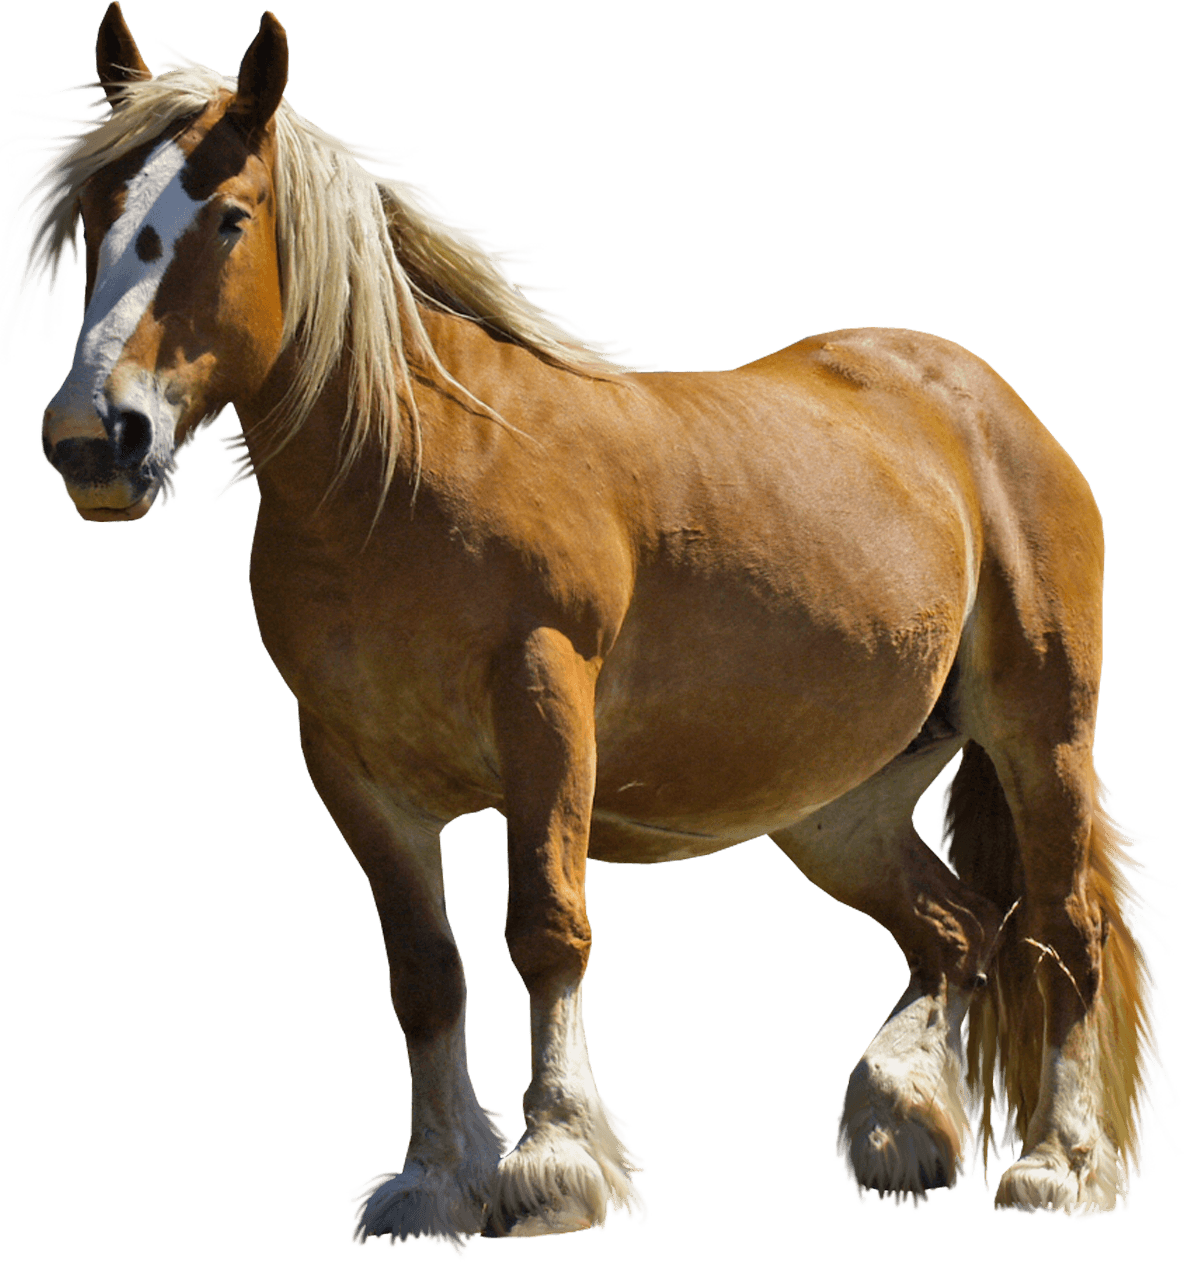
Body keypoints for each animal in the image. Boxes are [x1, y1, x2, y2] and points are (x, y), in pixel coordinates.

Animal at [4, 4, 1175, 1249]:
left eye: (228, 218)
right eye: (96, 220)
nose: (94, 439)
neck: (407, 476)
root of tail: (983, 401)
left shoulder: (544, 708)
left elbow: (545, 926)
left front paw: (556, 1160)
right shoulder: (352, 766)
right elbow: (423, 968)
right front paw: (436, 1176)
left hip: (1037, 733)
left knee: (1059, 932)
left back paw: (1054, 1163)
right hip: (837, 802)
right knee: (955, 929)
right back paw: (900, 1122)